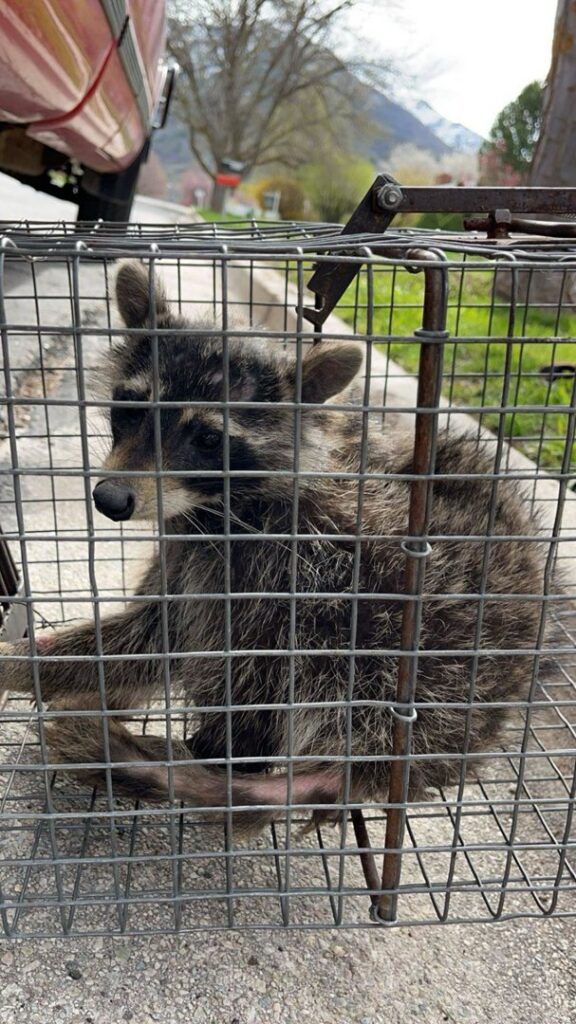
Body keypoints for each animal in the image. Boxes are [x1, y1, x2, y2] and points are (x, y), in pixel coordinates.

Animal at [0, 260, 548, 826]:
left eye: (208, 439)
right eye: (129, 410)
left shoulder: (265, 558)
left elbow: (159, 640)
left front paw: (19, 663)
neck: (217, 502)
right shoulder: (187, 543)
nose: (110, 498)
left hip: (386, 629)